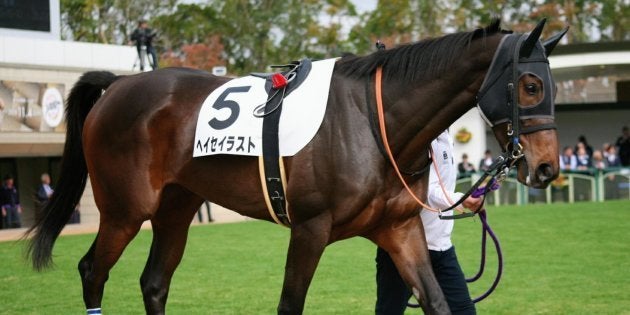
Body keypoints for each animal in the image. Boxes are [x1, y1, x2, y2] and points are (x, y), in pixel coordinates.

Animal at [25, 18, 568, 314]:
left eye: (551, 86)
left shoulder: (399, 228)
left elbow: (436, 301)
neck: (373, 121)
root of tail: (118, 83)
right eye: (530, 86)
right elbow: (290, 304)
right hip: (124, 209)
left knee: (154, 283)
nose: (546, 168)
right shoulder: (309, 228)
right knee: (92, 271)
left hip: (176, 207)